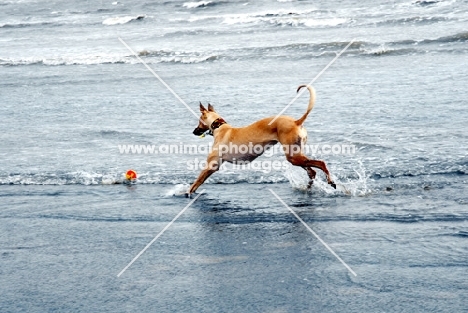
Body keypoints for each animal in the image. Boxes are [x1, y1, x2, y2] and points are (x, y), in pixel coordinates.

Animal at [187, 83, 336, 195]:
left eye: (199, 121)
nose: (194, 131)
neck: (220, 127)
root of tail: (296, 122)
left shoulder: (212, 166)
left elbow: (196, 182)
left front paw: (187, 192)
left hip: (293, 156)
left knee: (320, 163)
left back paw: (330, 181)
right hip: (297, 155)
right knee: (312, 171)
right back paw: (309, 187)